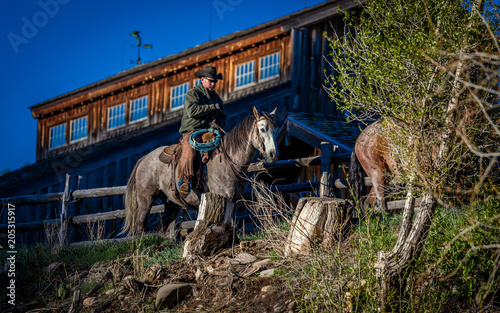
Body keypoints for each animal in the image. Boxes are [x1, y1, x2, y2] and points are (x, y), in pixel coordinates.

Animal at [119, 107, 280, 234]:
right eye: (262, 129)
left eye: (274, 129)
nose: (273, 154)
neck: (228, 161)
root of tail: (143, 159)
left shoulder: (234, 202)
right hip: (146, 200)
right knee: (139, 228)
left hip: (171, 205)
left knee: (161, 226)